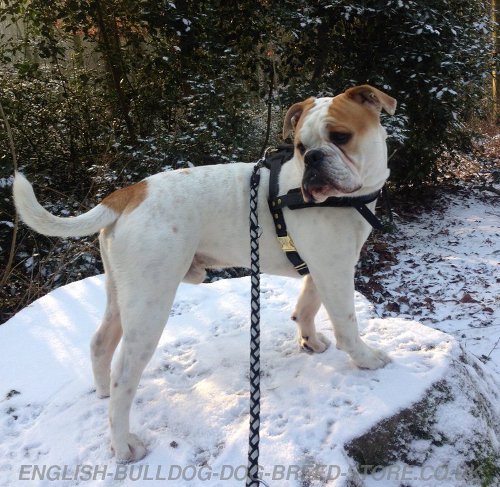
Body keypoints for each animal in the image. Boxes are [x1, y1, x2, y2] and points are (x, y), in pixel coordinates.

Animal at [12, 85, 398, 466]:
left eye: (341, 136)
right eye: (302, 147)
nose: (315, 158)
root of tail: (128, 193)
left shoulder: (320, 267)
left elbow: (306, 306)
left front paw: (310, 341)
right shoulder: (335, 270)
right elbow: (346, 324)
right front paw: (366, 359)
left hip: (121, 294)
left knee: (100, 344)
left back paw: (103, 391)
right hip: (149, 305)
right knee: (125, 376)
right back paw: (123, 445)